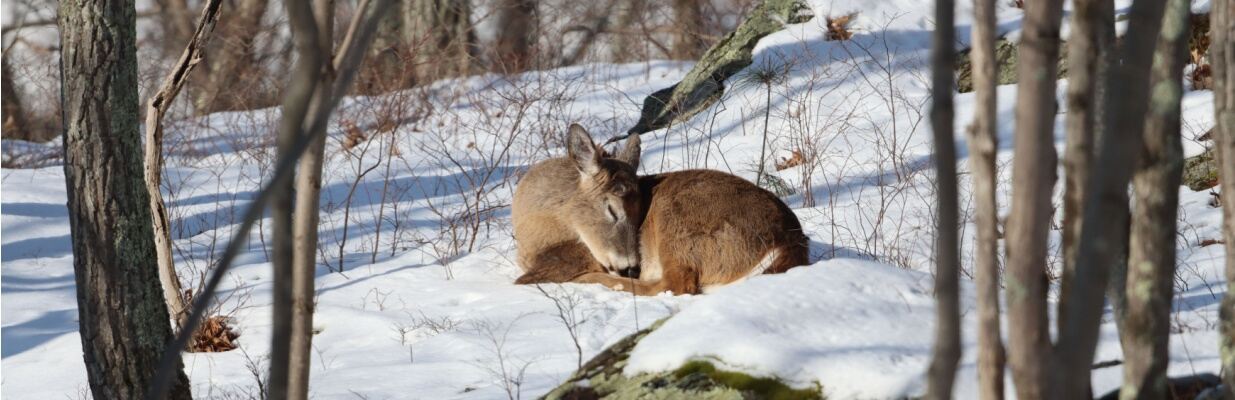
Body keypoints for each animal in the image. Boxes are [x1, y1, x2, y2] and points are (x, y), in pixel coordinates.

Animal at [511, 123, 810, 295]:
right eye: (612, 210)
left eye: (638, 214)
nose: (631, 266)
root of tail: (789, 239)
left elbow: (521, 281)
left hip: (678, 222)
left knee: (674, 285)